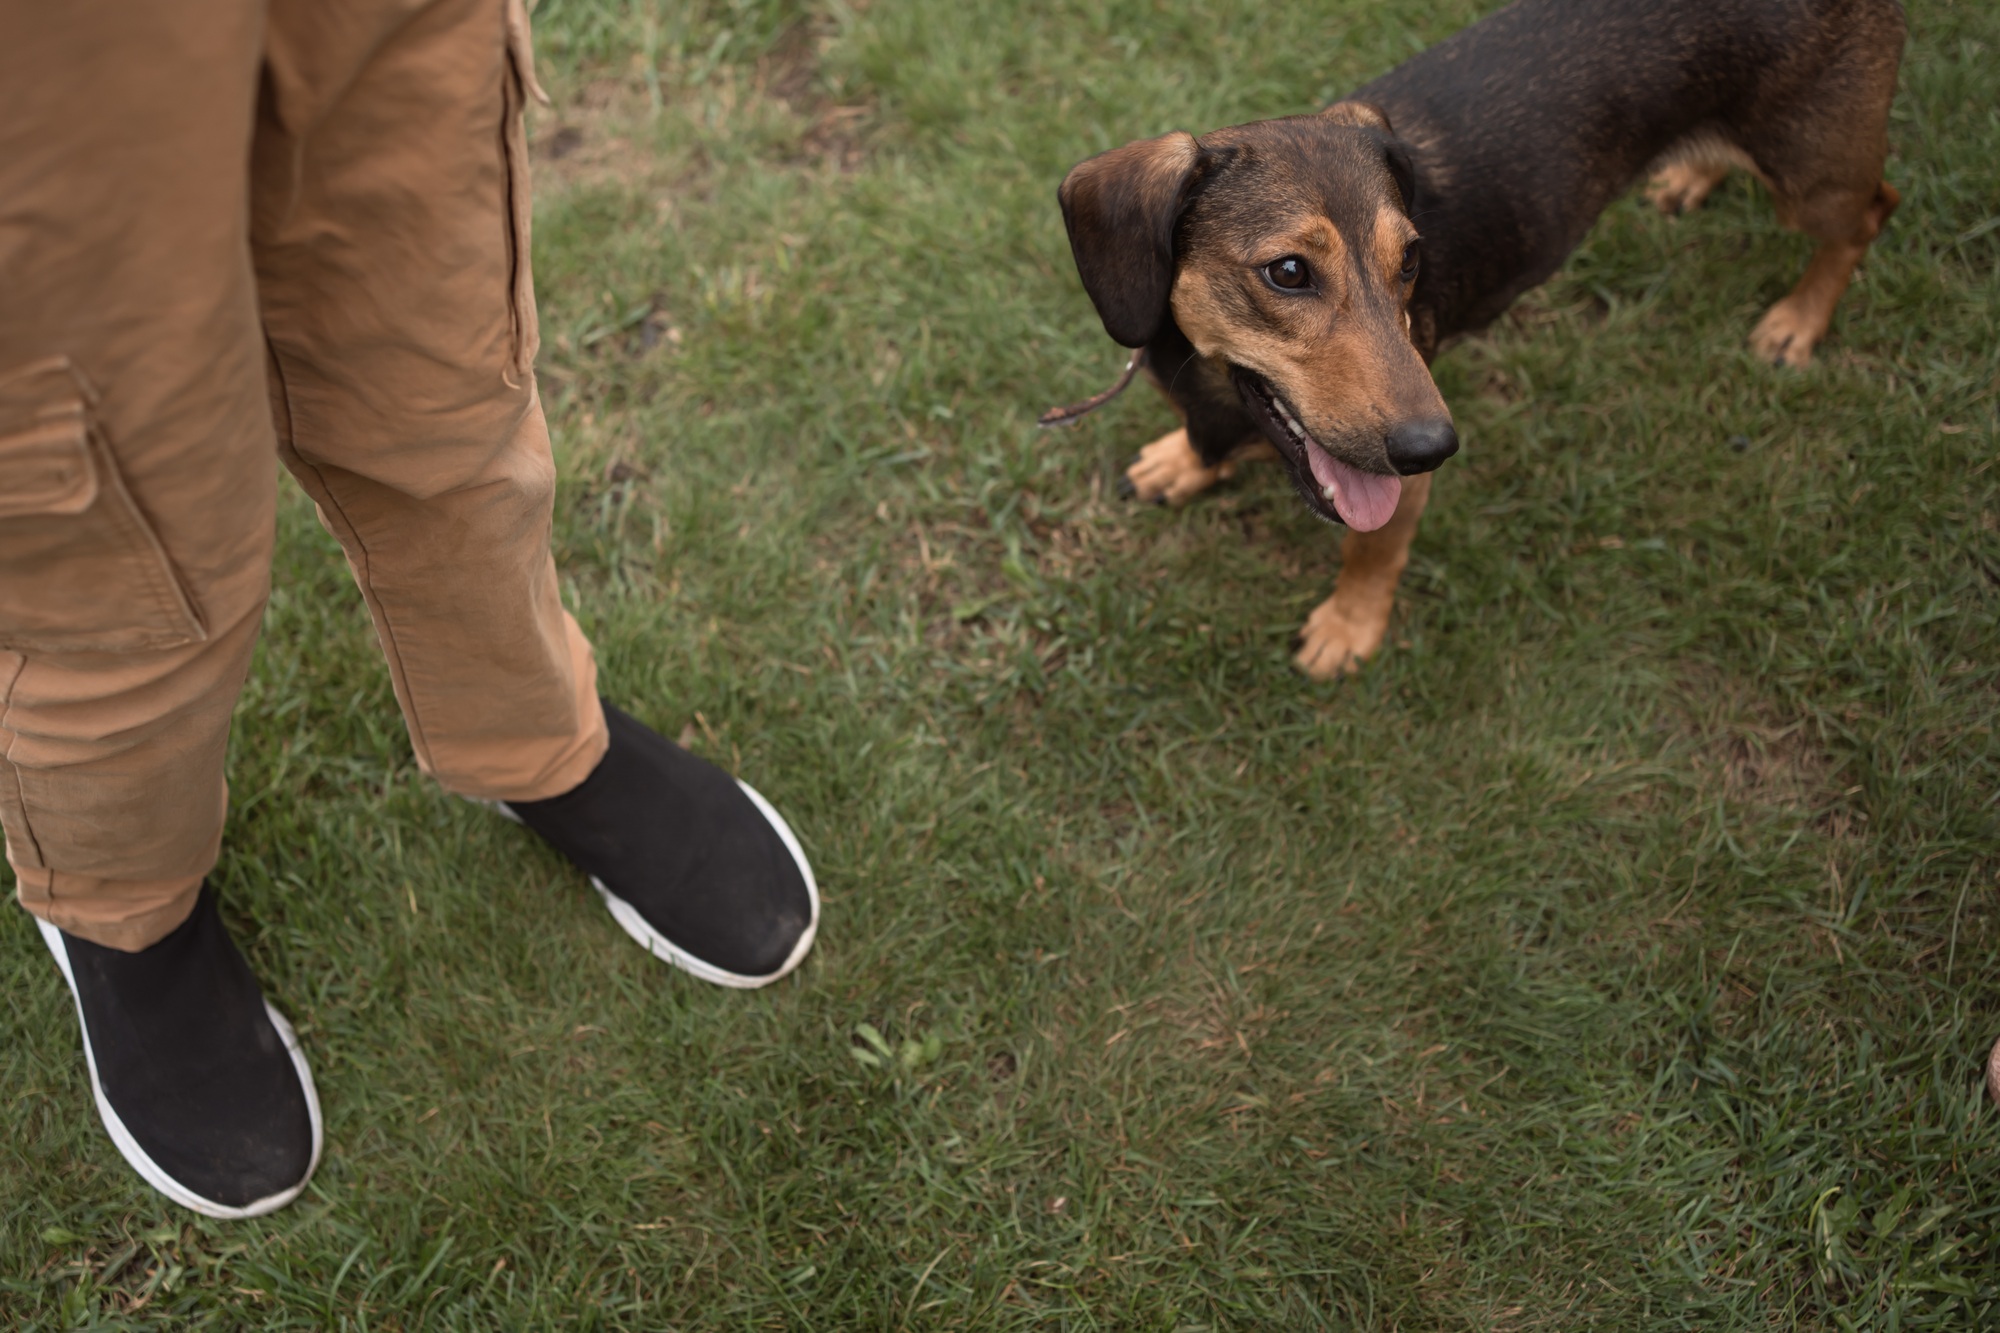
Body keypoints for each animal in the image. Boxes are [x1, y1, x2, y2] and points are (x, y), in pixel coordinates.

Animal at [1048, 2, 1904, 676]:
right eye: (1287, 271)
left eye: (1411, 260)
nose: (1433, 447)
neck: (1213, 378)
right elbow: (1205, 444)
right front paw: (1184, 463)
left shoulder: (1395, 494)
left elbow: (1372, 550)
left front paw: (1349, 627)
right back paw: (1694, 177)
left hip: (1813, 174)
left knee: (1872, 212)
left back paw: (1798, 320)